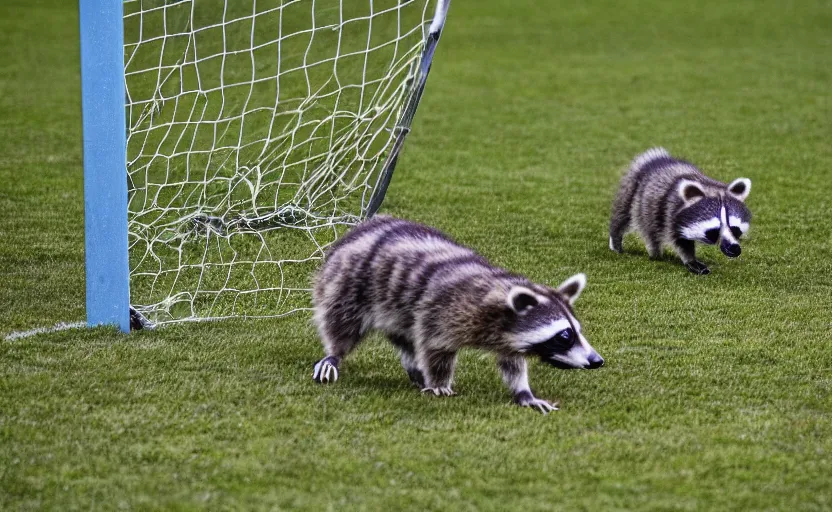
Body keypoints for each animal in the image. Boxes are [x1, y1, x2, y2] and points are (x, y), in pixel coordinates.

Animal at [308, 215, 600, 412]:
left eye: (577, 331)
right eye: (564, 336)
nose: (597, 361)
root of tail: (360, 229)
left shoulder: (506, 331)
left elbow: (511, 361)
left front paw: (523, 391)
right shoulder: (446, 309)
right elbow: (436, 346)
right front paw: (439, 382)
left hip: (395, 307)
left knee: (405, 335)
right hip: (348, 281)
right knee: (341, 321)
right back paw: (335, 353)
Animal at [608, 147, 752, 274]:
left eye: (734, 228)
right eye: (714, 230)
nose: (734, 248)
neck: (707, 186)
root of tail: (657, 159)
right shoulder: (671, 211)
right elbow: (681, 241)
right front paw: (690, 260)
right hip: (635, 190)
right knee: (629, 217)